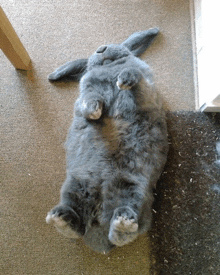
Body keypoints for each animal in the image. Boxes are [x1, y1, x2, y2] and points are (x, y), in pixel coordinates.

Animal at [45, 28, 168, 254]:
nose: (101, 48)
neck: (110, 67)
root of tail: (99, 223)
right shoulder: (88, 91)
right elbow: (90, 98)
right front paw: (94, 111)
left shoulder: (146, 93)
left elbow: (136, 80)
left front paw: (124, 79)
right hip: (74, 187)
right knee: (78, 224)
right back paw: (60, 218)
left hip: (136, 192)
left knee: (127, 232)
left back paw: (122, 222)